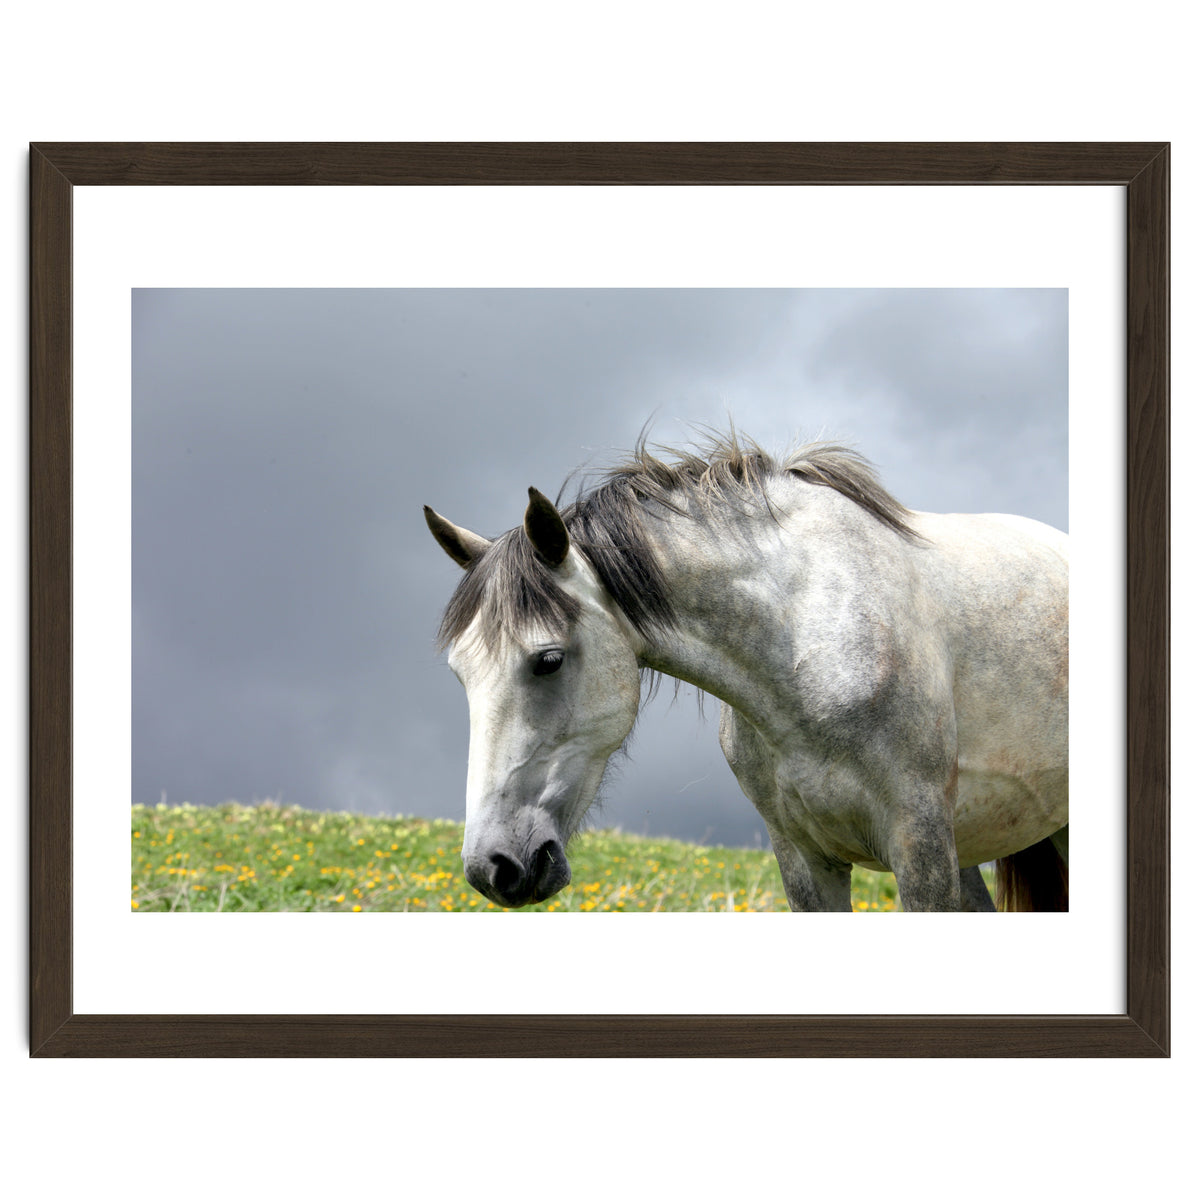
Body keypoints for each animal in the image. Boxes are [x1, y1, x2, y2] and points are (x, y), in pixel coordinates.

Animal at [424, 432, 1068, 912]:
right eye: (460, 675)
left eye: (548, 660)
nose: (493, 867)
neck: (807, 643)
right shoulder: (805, 861)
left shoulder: (921, 847)